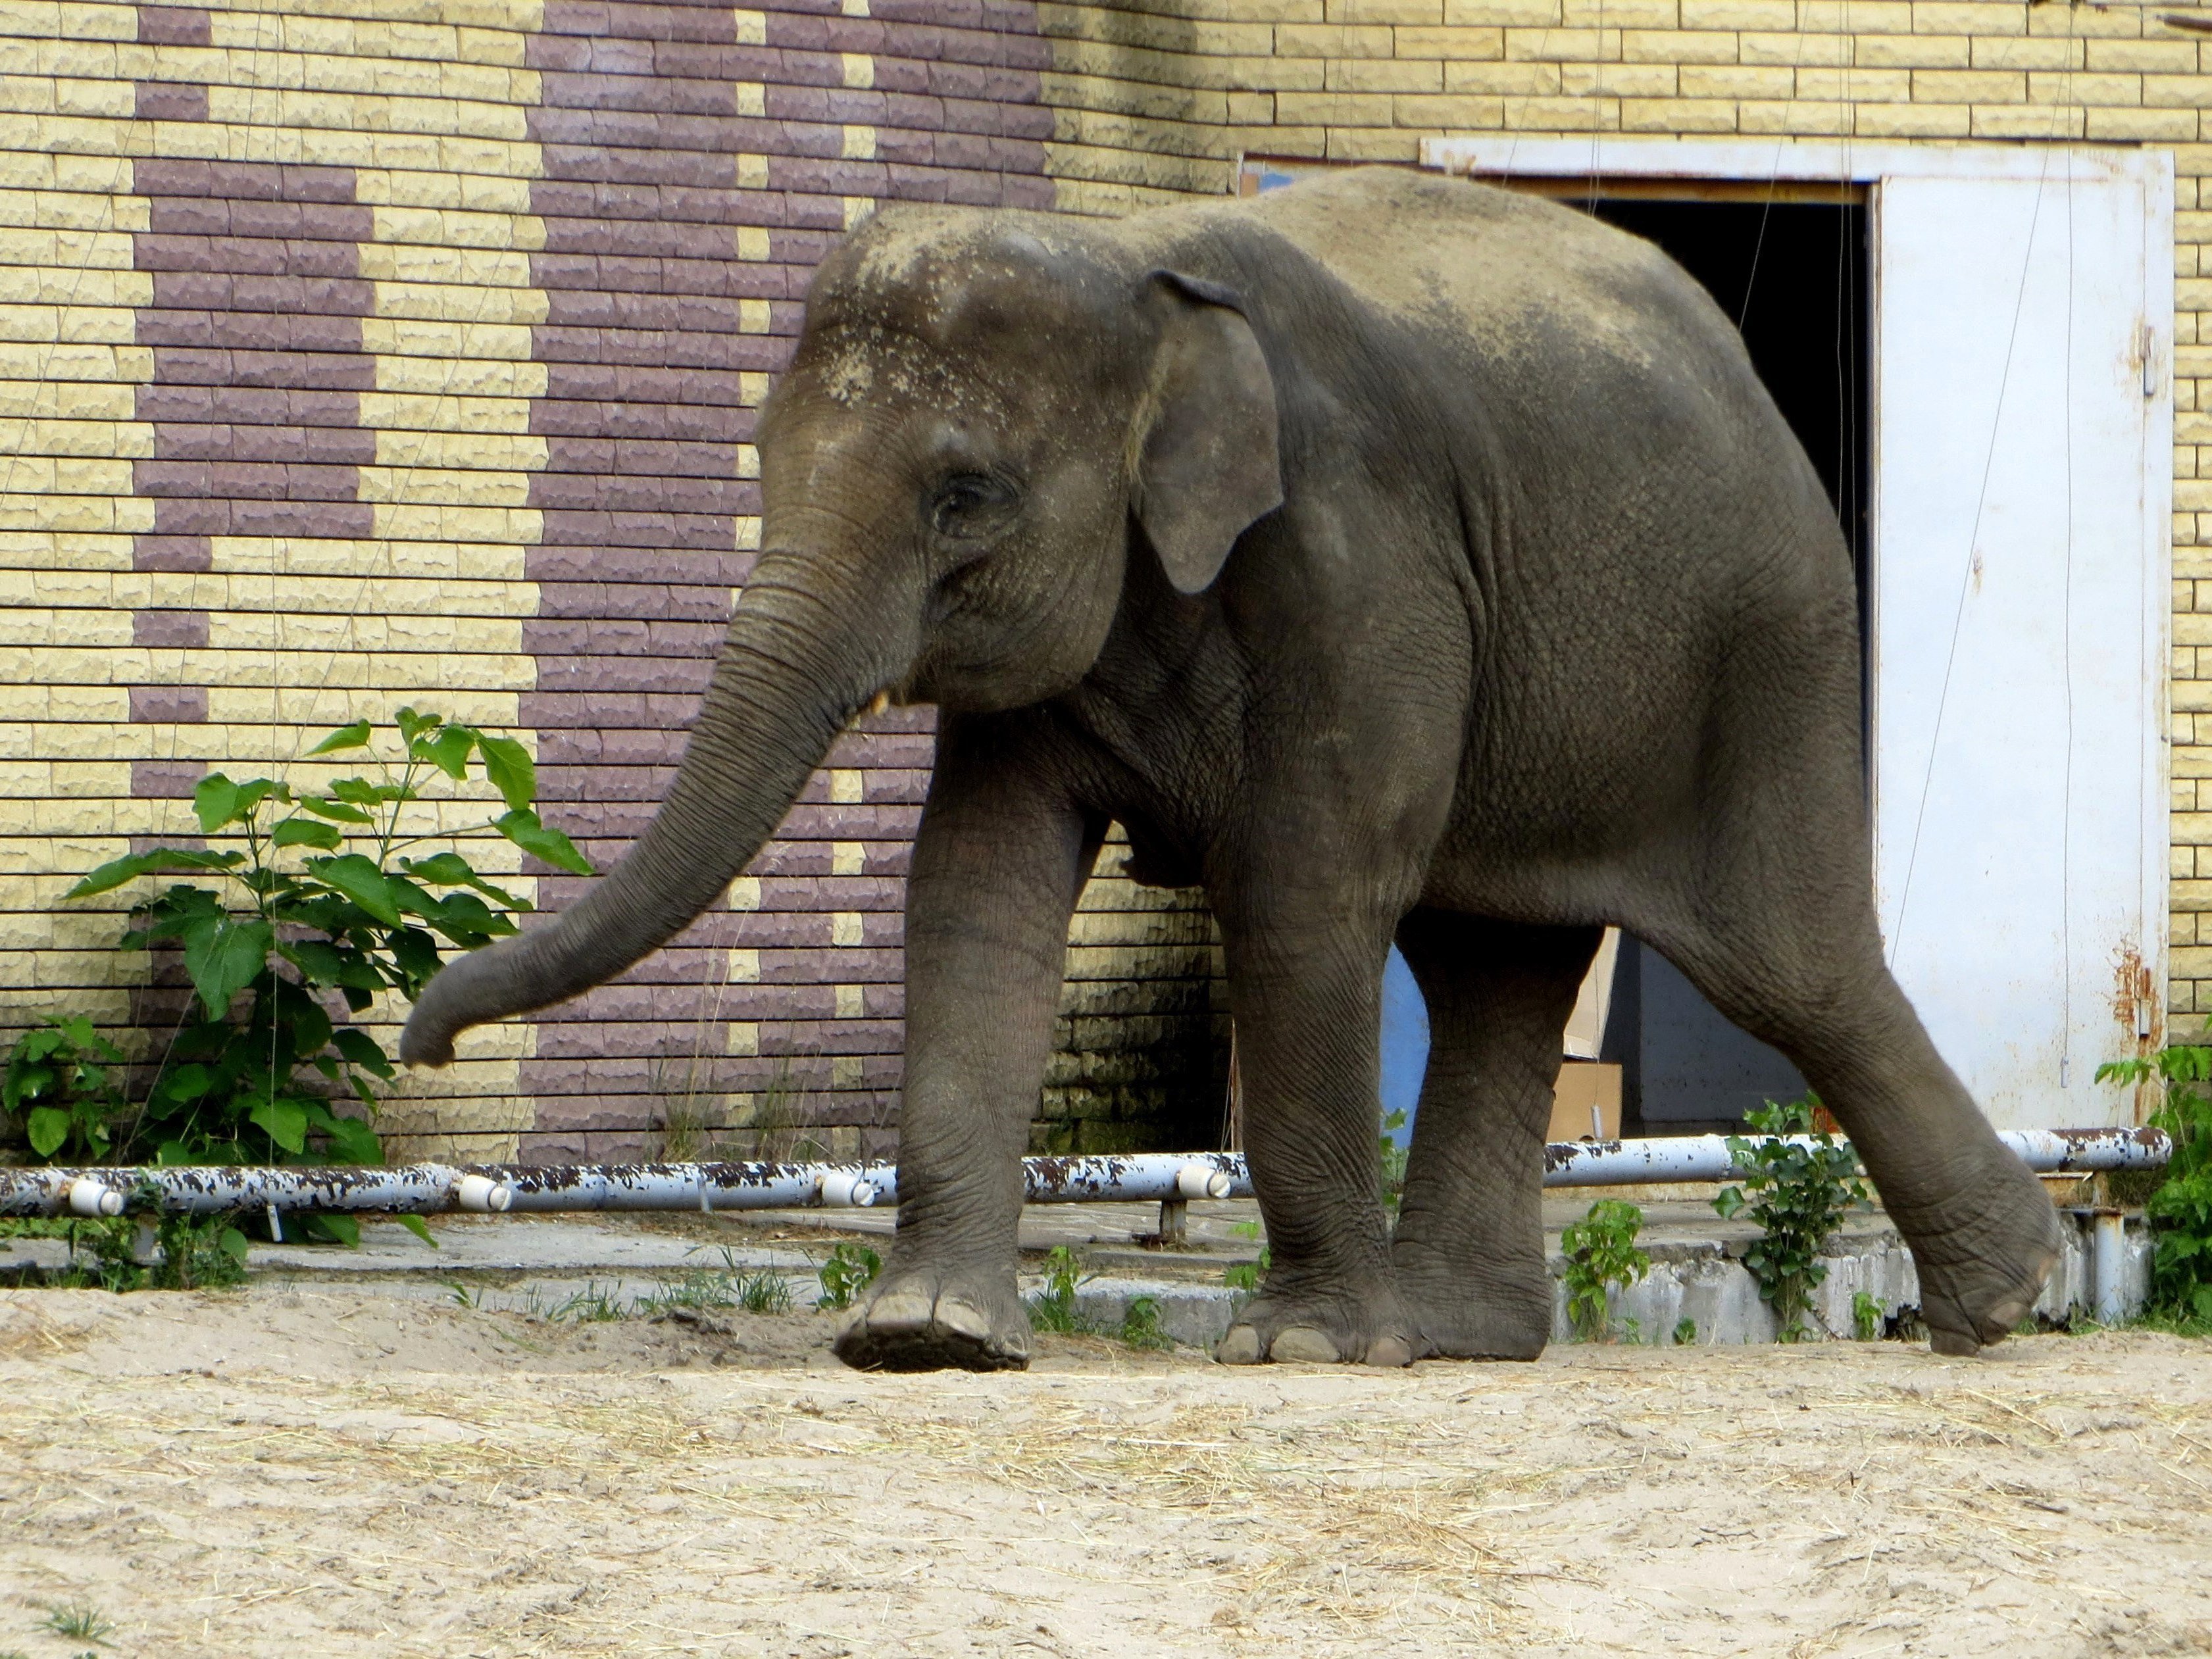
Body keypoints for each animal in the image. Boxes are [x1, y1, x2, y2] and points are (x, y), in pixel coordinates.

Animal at [393, 162, 2052, 1371]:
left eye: (964, 495)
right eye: (760, 463)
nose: (418, 1041)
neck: (1128, 259)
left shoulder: (1361, 558)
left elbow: (1306, 891)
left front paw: (1301, 1349)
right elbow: (977, 892)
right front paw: (925, 1342)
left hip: (1766, 647)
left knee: (1784, 962)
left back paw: (1998, 1304)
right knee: (1492, 966)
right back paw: (1464, 1338)